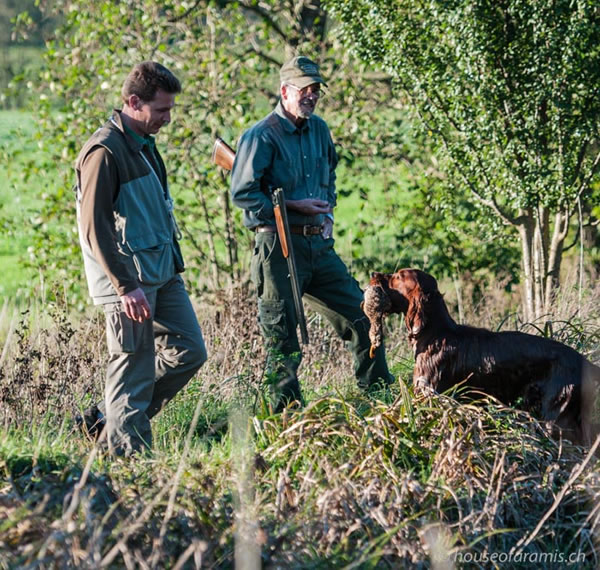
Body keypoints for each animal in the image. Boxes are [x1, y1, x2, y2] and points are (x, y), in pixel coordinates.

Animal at [364, 266, 596, 444]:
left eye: (399, 276)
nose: (373, 273)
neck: (435, 334)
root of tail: (583, 361)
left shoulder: (431, 395)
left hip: (556, 417)